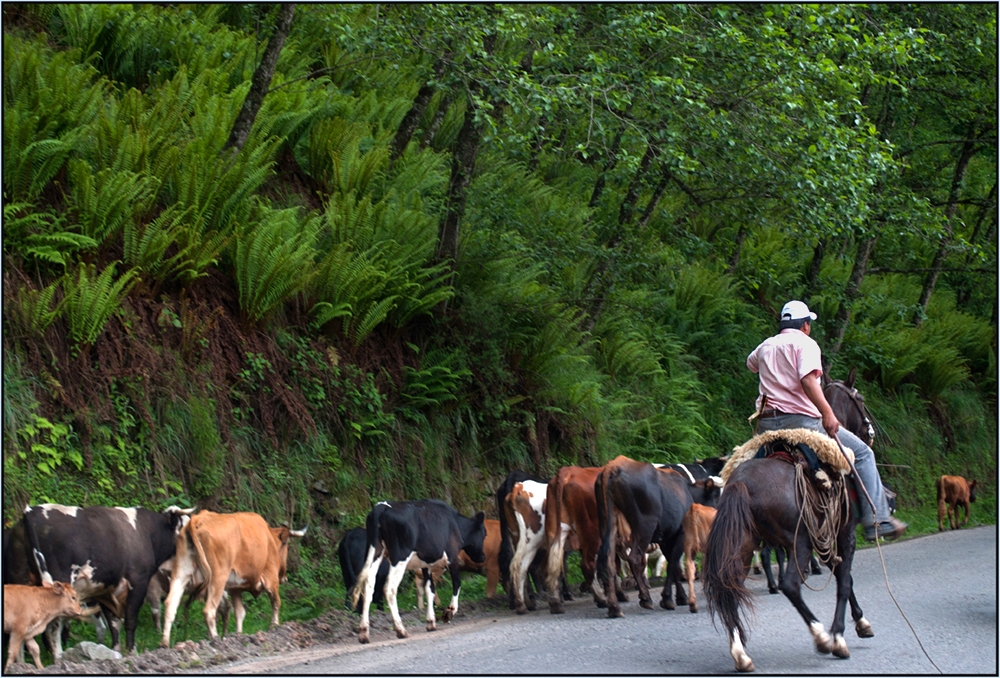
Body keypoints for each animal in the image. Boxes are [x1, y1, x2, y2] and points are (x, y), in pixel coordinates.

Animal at [5, 504, 193, 660]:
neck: (147, 533)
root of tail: (31, 511)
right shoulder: (138, 581)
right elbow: (130, 619)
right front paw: (132, 652)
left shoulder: (105, 590)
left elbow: (113, 623)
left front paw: (116, 651)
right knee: (53, 627)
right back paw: (58, 657)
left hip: (21, 578)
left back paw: (20, 663)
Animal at [160, 512, 304, 652]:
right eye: (285, 543)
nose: (284, 576)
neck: (269, 538)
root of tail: (197, 520)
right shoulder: (271, 579)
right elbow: (276, 603)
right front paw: (274, 626)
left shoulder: (235, 589)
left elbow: (240, 612)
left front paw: (238, 636)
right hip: (218, 577)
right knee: (209, 610)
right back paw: (216, 639)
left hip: (181, 573)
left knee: (170, 604)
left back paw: (165, 643)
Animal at [352, 502, 488, 644]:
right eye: (485, 533)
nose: (483, 557)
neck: (455, 522)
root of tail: (382, 506)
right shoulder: (452, 557)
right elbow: (457, 583)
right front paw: (449, 612)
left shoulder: (425, 564)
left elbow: (430, 589)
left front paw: (431, 622)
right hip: (400, 558)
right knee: (389, 589)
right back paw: (401, 630)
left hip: (375, 553)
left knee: (368, 588)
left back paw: (364, 633)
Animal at [596, 460, 692, 620]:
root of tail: (613, 467)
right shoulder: (680, 534)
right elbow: (674, 564)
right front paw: (669, 598)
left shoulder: (664, 538)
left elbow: (674, 565)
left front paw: (680, 596)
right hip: (644, 527)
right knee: (634, 558)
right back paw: (645, 598)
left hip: (608, 524)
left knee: (609, 563)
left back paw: (614, 608)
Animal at [700, 454, 872, 672]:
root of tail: (741, 482)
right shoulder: (845, 533)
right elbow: (845, 582)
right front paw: (839, 637)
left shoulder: (825, 539)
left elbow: (843, 577)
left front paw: (860, 622)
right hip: (800, 543)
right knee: (790, 585)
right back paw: (821, 636)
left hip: (742, 548)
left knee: (730, 589)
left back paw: (740, 655)